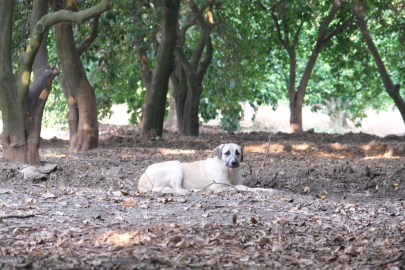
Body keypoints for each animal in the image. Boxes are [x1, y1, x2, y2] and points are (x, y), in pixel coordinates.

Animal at [137, 142, 274, 195]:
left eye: (237, 153)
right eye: (227, 153)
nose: (234, 163)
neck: (229, 172)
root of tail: (142, 178)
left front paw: (266, 190)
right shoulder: (219, 187)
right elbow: (242, 187)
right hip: (176, 166)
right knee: (176, 189)